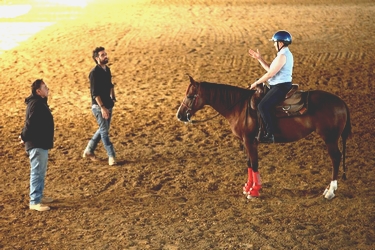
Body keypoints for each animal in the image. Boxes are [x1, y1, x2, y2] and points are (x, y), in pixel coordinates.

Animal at [176, 75, 352, 200]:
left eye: (190, 96)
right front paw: (247, 187)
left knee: (335, 158)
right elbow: (249, 163)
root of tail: (342, 102)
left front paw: (254, 191)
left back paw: (330, 191)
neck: (239, 107)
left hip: (330, 138)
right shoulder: (245, 141)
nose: (179, 116)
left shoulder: (250, 141)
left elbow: (254, 164)